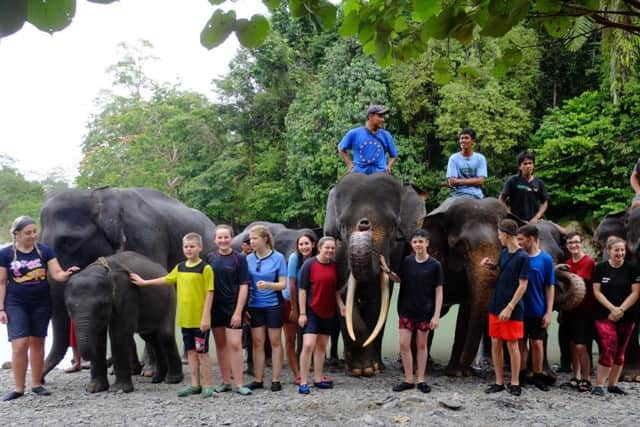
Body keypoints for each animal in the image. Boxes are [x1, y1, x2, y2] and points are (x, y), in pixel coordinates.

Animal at [65, 251, 182, 394]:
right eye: (68, 307)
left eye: (102, 305)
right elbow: (98, 336)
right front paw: (94, 389)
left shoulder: (128, 294)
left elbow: (118, 333)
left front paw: (119, 389)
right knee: (150, 337)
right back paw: (157, 379)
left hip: (170, 298)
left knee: (165, 335)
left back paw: (173, 380)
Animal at [324, 172, 424, 376]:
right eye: (342, 227)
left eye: (393, 227)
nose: (364, 224)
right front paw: (361, 370)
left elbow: (377, 299)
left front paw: (373, 368)